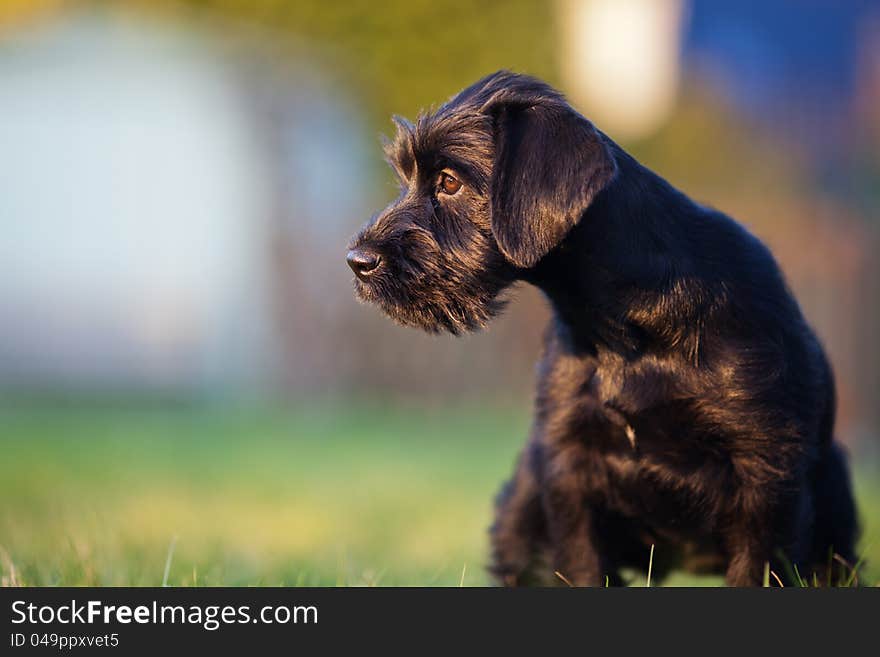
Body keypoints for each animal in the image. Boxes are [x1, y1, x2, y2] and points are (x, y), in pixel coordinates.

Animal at [346, 70, 860, 584]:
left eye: (449, 181)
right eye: (406, 179)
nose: (357, 260)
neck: (625, 332)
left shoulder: (765, 477)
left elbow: (759, 567)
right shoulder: (570, 472)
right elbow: (581, 566)